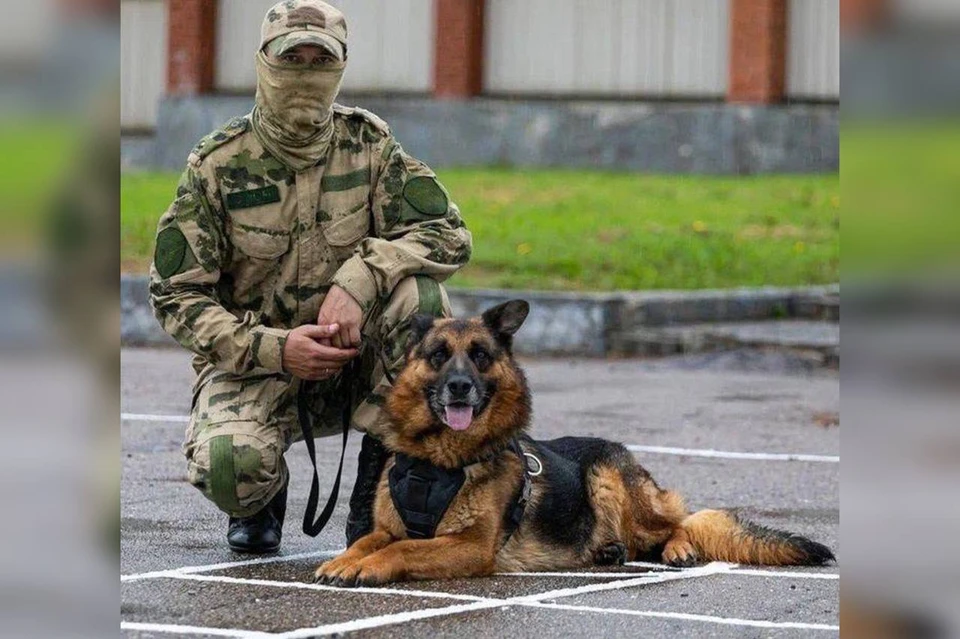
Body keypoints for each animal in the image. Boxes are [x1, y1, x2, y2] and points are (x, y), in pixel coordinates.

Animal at [316, 302, 832, 588]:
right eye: (439, 355)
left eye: (480, 355)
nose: (460, 387)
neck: (438, 461)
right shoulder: (390, 527)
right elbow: (369, 540)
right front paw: (344, 561)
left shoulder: (471, 547)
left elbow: (403, 550)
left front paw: (367, 567)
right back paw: (608, 551)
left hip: (608, 480)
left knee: (682, 522)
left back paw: (677, 549)